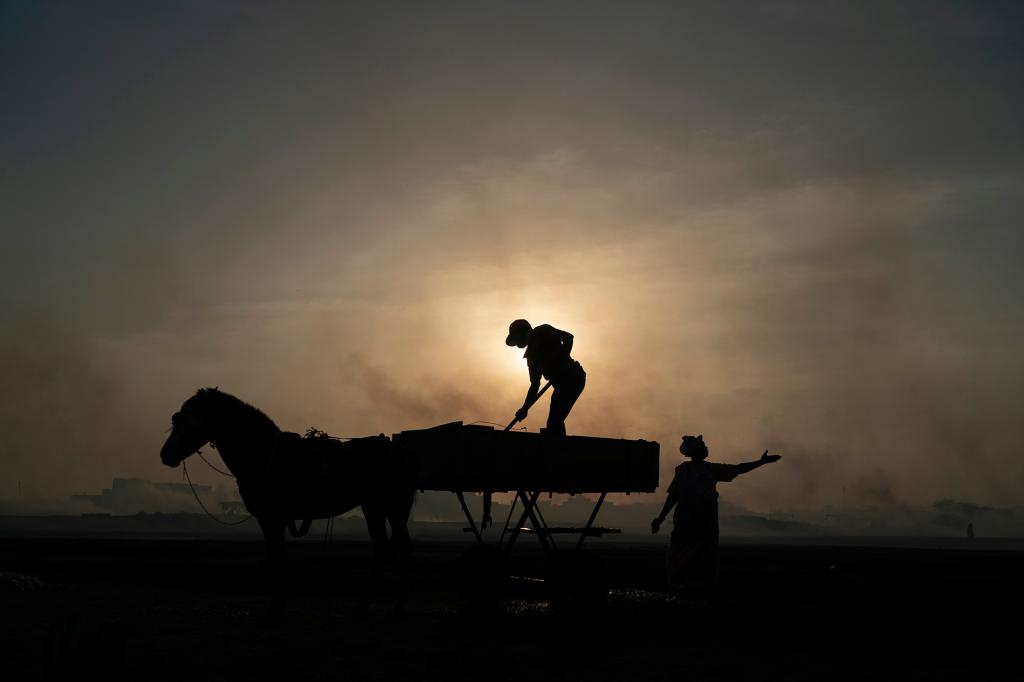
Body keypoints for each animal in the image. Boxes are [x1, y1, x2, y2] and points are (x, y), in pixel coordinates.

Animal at [159, 387, 415, 614]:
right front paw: (277, 604)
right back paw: (364, 605)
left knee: (403, 548)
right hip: (373, 508)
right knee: (382, 549)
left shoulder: (273, 517)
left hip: (393, 509)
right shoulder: (270, 519)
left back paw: (399, 605)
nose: (165, 455)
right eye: (176, 418)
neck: (264, 454)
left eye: (193, 422)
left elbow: (276, 557)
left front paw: (276, 607)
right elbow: (275, 556)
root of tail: (399, 451)